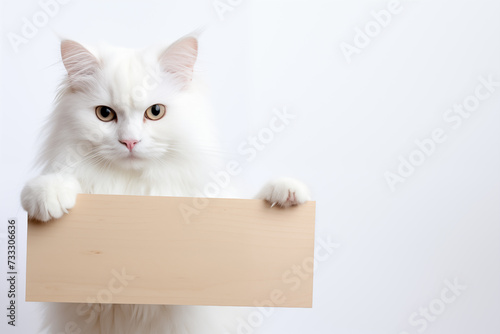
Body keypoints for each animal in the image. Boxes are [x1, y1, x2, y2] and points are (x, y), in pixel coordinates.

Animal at [21, 34, 310, 334]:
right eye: (105, 114)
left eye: (155, 112)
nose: (130, 141)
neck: (135, 188)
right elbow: (59, 182)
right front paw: (47, 195)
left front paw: (284, 191)